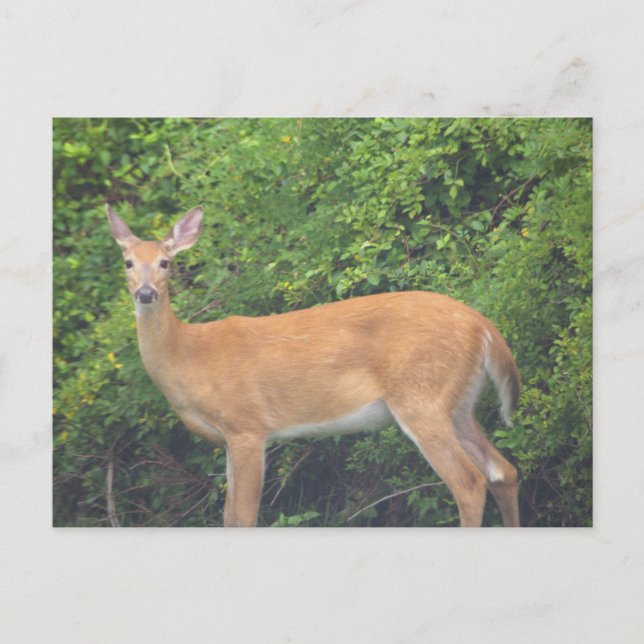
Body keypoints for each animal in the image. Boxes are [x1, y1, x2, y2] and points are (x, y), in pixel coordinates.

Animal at [107, 204, 521, 527]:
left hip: (421, 396)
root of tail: (483, 326)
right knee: (503, 471)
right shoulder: (227, 438)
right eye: (128, 262)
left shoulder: (247, 426)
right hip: (459, 403)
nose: (146, 293)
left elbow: (243, 516)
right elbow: (227, 517)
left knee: (469, 482)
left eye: (166, 262)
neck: (190, 357)